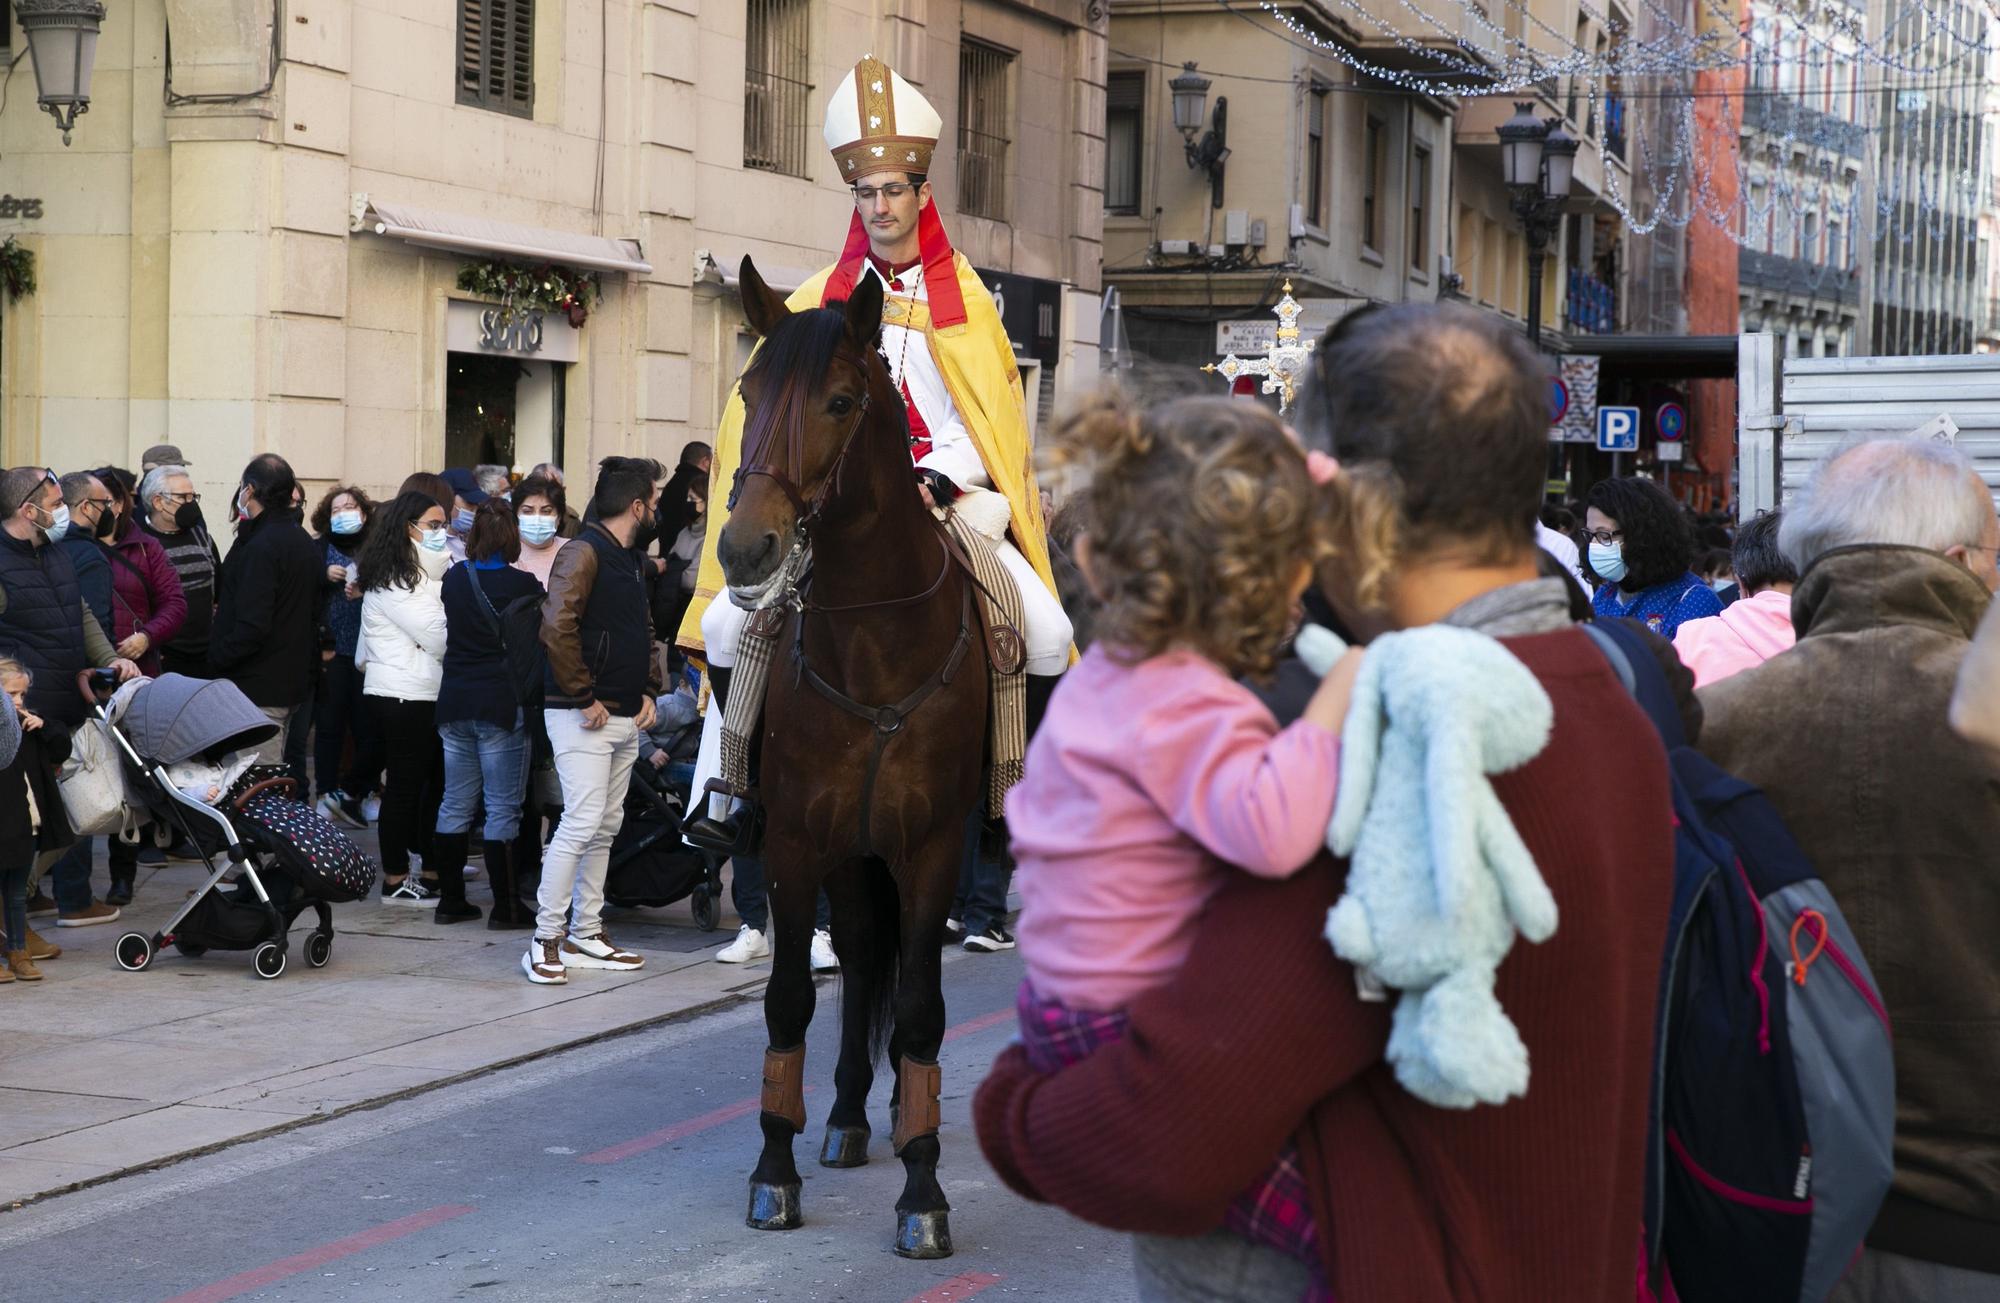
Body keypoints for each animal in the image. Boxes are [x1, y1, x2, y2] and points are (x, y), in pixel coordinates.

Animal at [720, 249, 992, 1255]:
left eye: (840, 400)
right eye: (750, 388)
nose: (744, 547)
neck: (875, 645)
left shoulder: (934, 848)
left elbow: (920, 1013)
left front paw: (925, 1189)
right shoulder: (798, 842)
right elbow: (790, 997)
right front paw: (774, 1170)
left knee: (886, 971)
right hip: (848, 851)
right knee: (864, 955)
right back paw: (838, 1119)